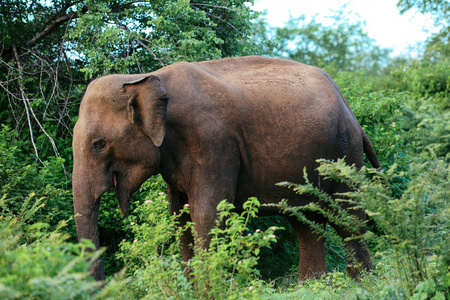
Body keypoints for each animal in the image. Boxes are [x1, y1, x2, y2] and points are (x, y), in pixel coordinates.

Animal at [73, 54, 380, 282]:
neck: (149, 78)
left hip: (344, 150)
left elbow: (207, 213)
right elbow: (180, 217)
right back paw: (311, 286)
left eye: (98, 144)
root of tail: (348, 106)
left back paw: (360, 283)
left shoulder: (214, 143)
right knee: (305, 220)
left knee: (346, 215)